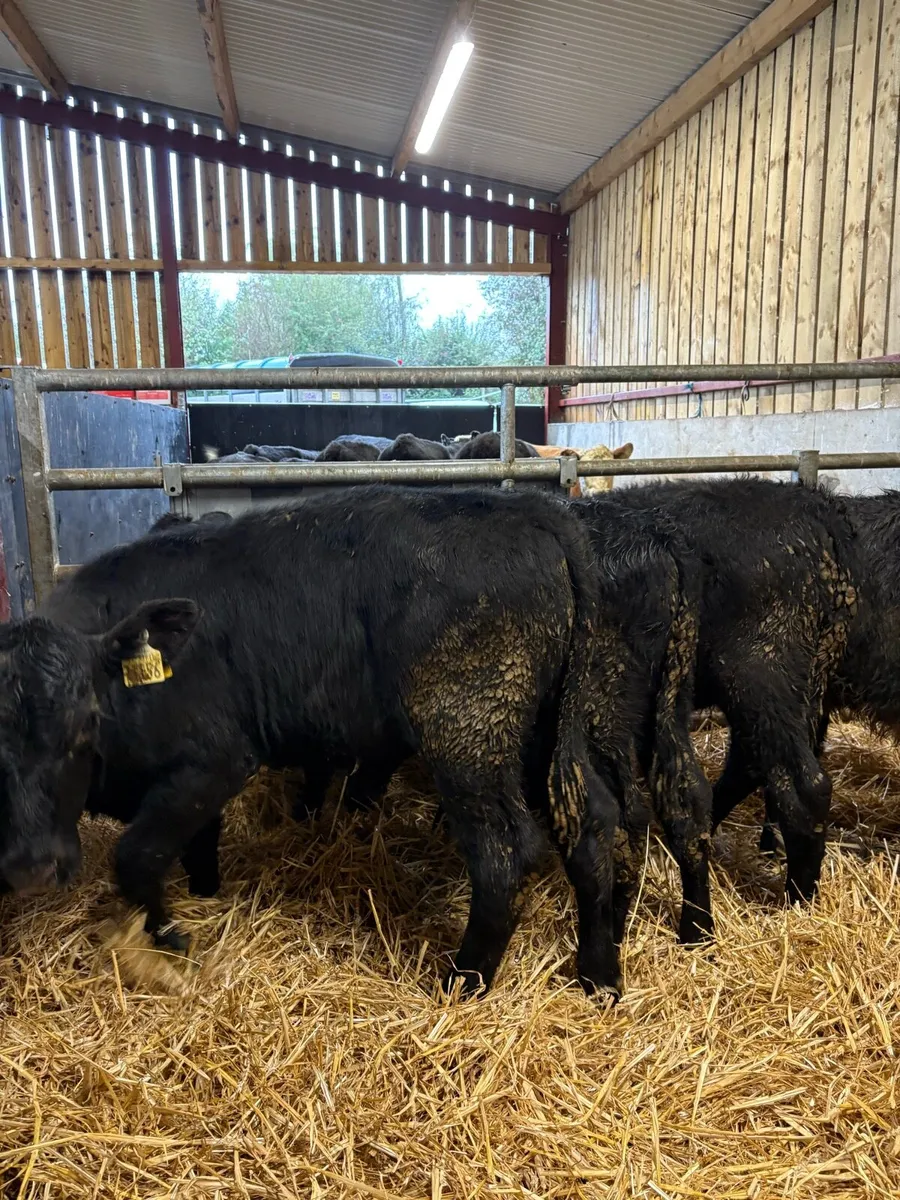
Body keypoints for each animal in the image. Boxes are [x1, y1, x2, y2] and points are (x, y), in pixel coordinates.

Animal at [0, 487, 622, 997]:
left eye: (86, 724)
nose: (32, 869)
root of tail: (522, 508)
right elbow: (198, 846)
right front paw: (205, 897)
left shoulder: (214, 762)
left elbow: (138, 856)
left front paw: (172, 939)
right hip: (546, 728)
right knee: (590, 820)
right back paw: (599, 973)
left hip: (466, 733)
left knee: (503, 852)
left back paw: (462, 981)